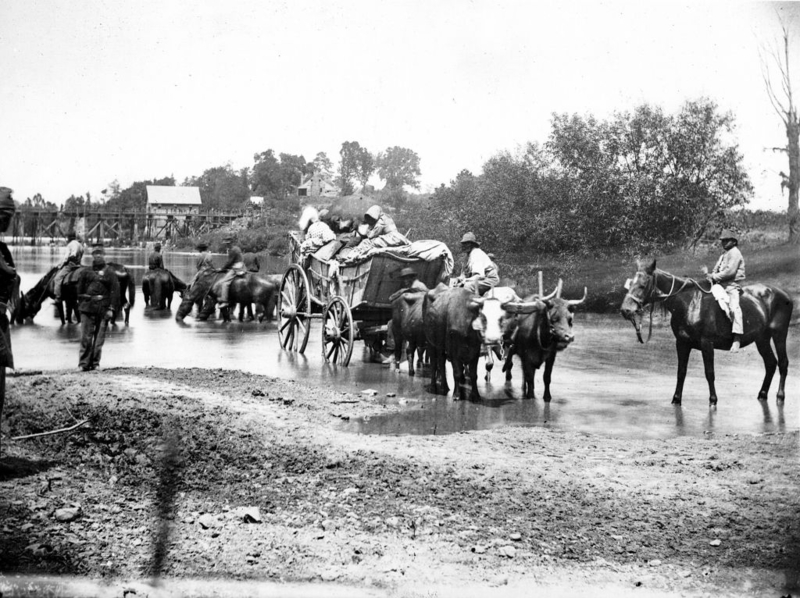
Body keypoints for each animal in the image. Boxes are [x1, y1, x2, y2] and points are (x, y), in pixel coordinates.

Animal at [620, 262, 792, 408]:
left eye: (642, 285)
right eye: (630, 284)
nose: (625, 310)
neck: (689, 303)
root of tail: (784, 295)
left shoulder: (706, 344)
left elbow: (709, 373)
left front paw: (713, 400)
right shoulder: (682, 343)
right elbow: (681, 372)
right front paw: (676, 399)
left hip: (779, 334)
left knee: (783, 363)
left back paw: (780, 396)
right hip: (762, 339)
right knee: (770, 363)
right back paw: (762, 395)